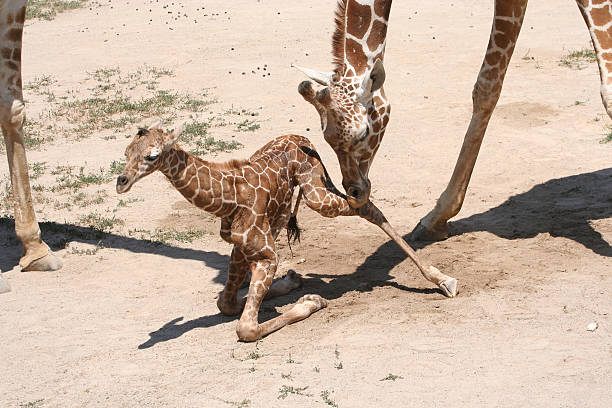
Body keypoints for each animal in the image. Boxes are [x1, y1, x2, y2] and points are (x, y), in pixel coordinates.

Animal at [117, 123, 456, 342]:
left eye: (151, 156)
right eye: (125, 152)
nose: (121, 182)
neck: (228, 198)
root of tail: (302, 137)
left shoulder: (268, 255)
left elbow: (246, 329)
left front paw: (312, 301)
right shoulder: (242, 246)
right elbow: (226, 303)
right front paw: (290, 283)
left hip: (316, 192)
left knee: (364, 205)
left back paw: (443, 279)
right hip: (287, 212)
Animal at [294, 0, 612, 241]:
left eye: (362, 134)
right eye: (326, 139)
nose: (354, 192)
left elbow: (608, 90)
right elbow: (486, 87)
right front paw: (436, 219)